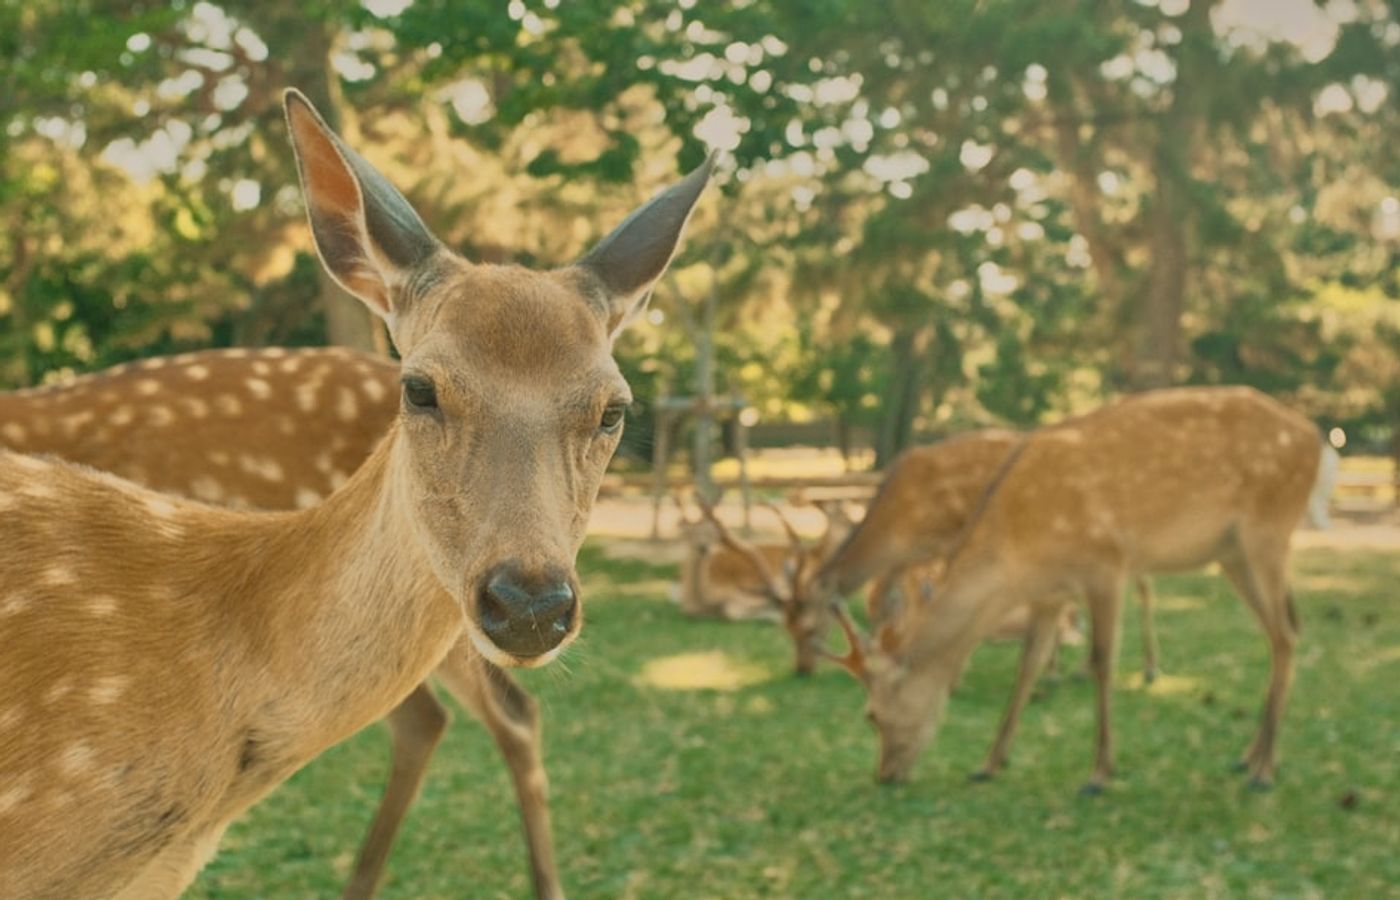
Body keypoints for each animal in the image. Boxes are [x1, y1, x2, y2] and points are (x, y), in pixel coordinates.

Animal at [822, 387, 1330, 792]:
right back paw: (1249, 756)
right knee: (1281, 633)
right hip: (1232, 554)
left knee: (1287, 634)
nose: (885, 774)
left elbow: (1101, 663)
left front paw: (1100, 772)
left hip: (1267, 531)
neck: (1018, 548)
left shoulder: (1106, 563)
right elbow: (1027, 667)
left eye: (872, 714)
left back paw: (1264, 770)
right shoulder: (1050, 592)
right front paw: (989, 763)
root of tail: (1315, 438)